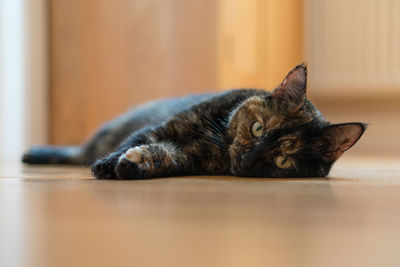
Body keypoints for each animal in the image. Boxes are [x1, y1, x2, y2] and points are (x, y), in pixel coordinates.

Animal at [21, 63, 366, 179]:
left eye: (283, 160)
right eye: (258, 128)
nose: (249, 157)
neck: (217, 143)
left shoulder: (187, 157)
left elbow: (164, 156)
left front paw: (135, 165)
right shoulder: (164, 128)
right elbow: (135, 141)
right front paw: (107, 166)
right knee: (79, 152)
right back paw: (35, 153)